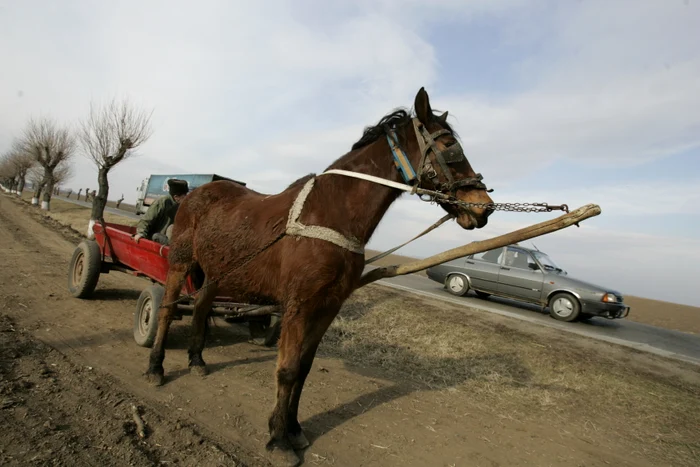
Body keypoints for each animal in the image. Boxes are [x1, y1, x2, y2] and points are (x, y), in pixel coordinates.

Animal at [144, 88, 492, 467]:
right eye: (449, 145)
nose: (484, 207)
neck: (329, 215)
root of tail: (195, 195)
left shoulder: (328, 306)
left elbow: (305, 367)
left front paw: (293, 428)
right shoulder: (298, 306)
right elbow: (288, 369)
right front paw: (278, 439)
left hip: (218, 272)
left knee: (201, 307)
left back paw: (196, 359)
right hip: (180, 264)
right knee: (167, 310)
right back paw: (155, 367)